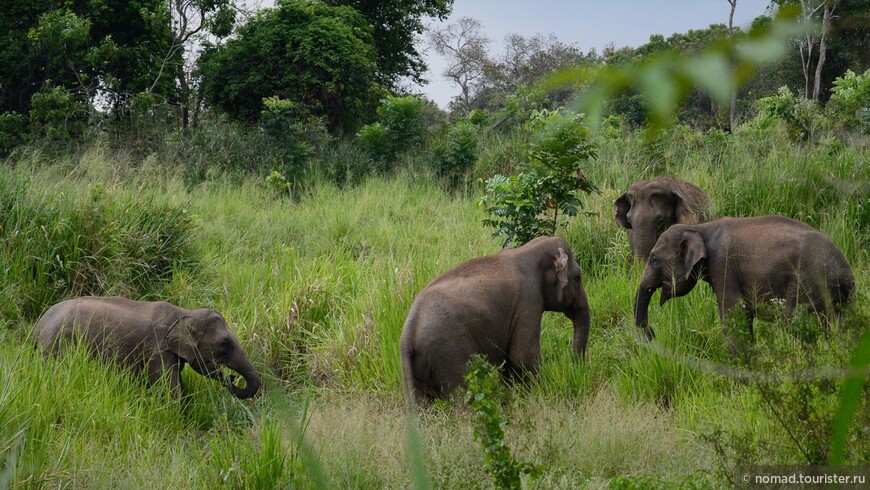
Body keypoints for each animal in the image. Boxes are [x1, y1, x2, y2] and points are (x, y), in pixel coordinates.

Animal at [34, 296, 264, 400]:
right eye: (223, 345)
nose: (231, 377)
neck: (186, 312)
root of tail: (39, 324)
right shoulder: (157, 349)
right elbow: (171, 391)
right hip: (57, 345)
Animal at [400, 236, 592, 402]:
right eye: (578, 277)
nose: (574, 365)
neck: (529, 248)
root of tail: (409, 332)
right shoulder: (529, 301)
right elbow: (522, 355)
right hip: (449, 353)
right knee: (461, 397)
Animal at [632, 216, 860, 350]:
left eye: (654, 259)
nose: (652, 332)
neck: (700, 228)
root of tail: (844, 271)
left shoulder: (723, 265)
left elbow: (734, 316)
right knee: (838, 325)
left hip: (808, 281)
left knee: (795, 321)